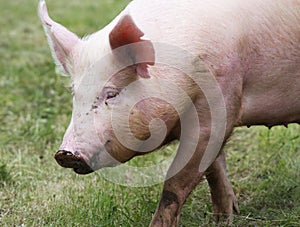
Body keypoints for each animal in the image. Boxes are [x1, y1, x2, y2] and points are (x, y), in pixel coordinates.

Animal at [38, 0, 300, 225]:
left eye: (111, 94)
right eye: (75, 93)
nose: (65, 153)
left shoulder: (221, 102)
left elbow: (175, 185)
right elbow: (214, 169)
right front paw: (223, 219)